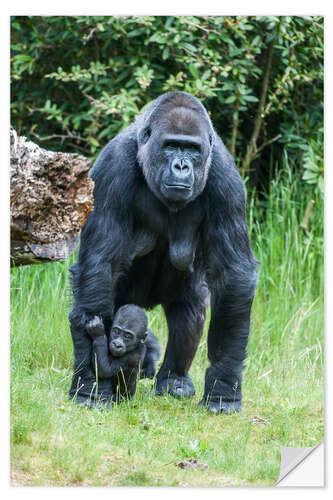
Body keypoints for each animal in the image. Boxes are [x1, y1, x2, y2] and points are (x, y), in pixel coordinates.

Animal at [68, 92, 256, 412]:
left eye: (191, 149)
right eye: (171, 145)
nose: (181, 165)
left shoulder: (226, 180)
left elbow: (233, 275)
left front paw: (223, 387)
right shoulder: (112, 168)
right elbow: (99, 264)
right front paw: (91, 388)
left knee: (190, 309)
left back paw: (173, 379)